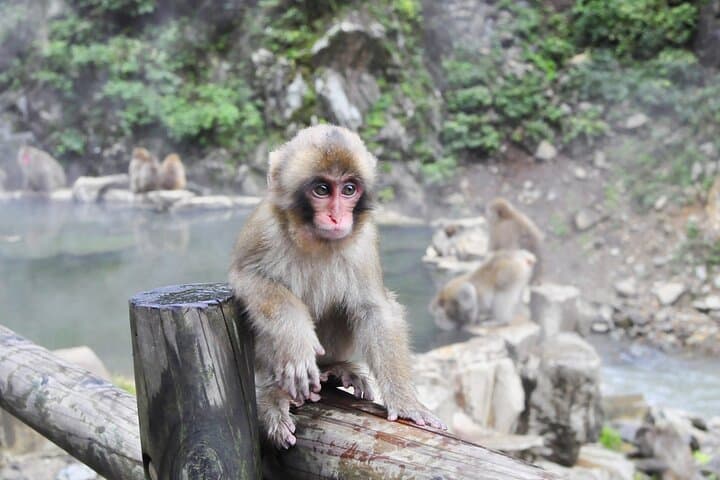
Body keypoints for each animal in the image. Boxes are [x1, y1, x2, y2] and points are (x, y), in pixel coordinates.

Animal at [229, 124, 445, 449]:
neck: (315, 239)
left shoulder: (365, 240)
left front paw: (406, 402)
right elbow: (249, 279)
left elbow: (373, 309)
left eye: (348, 189)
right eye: (322, 190)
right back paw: (275, 391)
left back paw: (334, 369)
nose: (336, 216)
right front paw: (297, 343)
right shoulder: (264, 227)